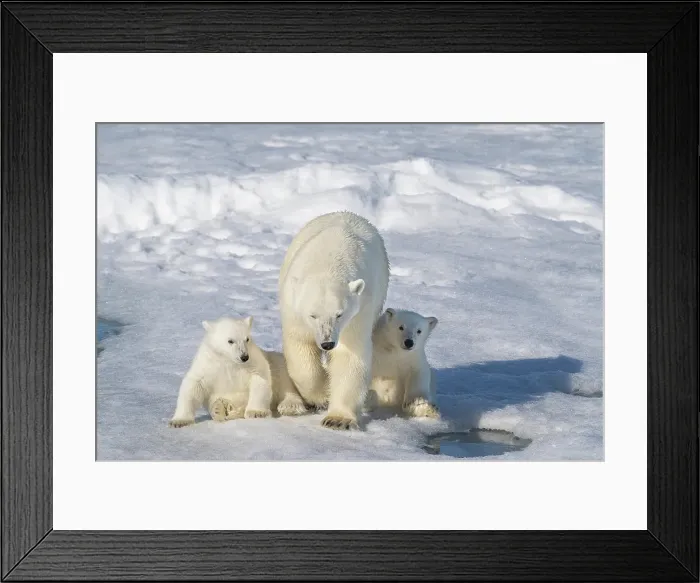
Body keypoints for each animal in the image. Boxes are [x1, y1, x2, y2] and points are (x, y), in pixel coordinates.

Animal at [168, 316, 308, 428]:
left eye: (247, 339)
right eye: (230, 340)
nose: (244, 357)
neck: (229, 361)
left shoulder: (253, 362)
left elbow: (260, 379)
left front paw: (256, 412)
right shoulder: (209, 364)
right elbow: (194, 385)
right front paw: (179, 421)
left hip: (280, 362)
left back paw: (289, 406)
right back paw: (220, 408)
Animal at [278, 211, 390, 430]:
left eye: (340, 314)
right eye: (312, 315)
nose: (327, 343)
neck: (328, 263)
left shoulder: (359, 311)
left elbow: (349, 355)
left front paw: (338, 419)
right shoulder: (294, 307)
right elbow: (300, 345)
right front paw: (321, 396)